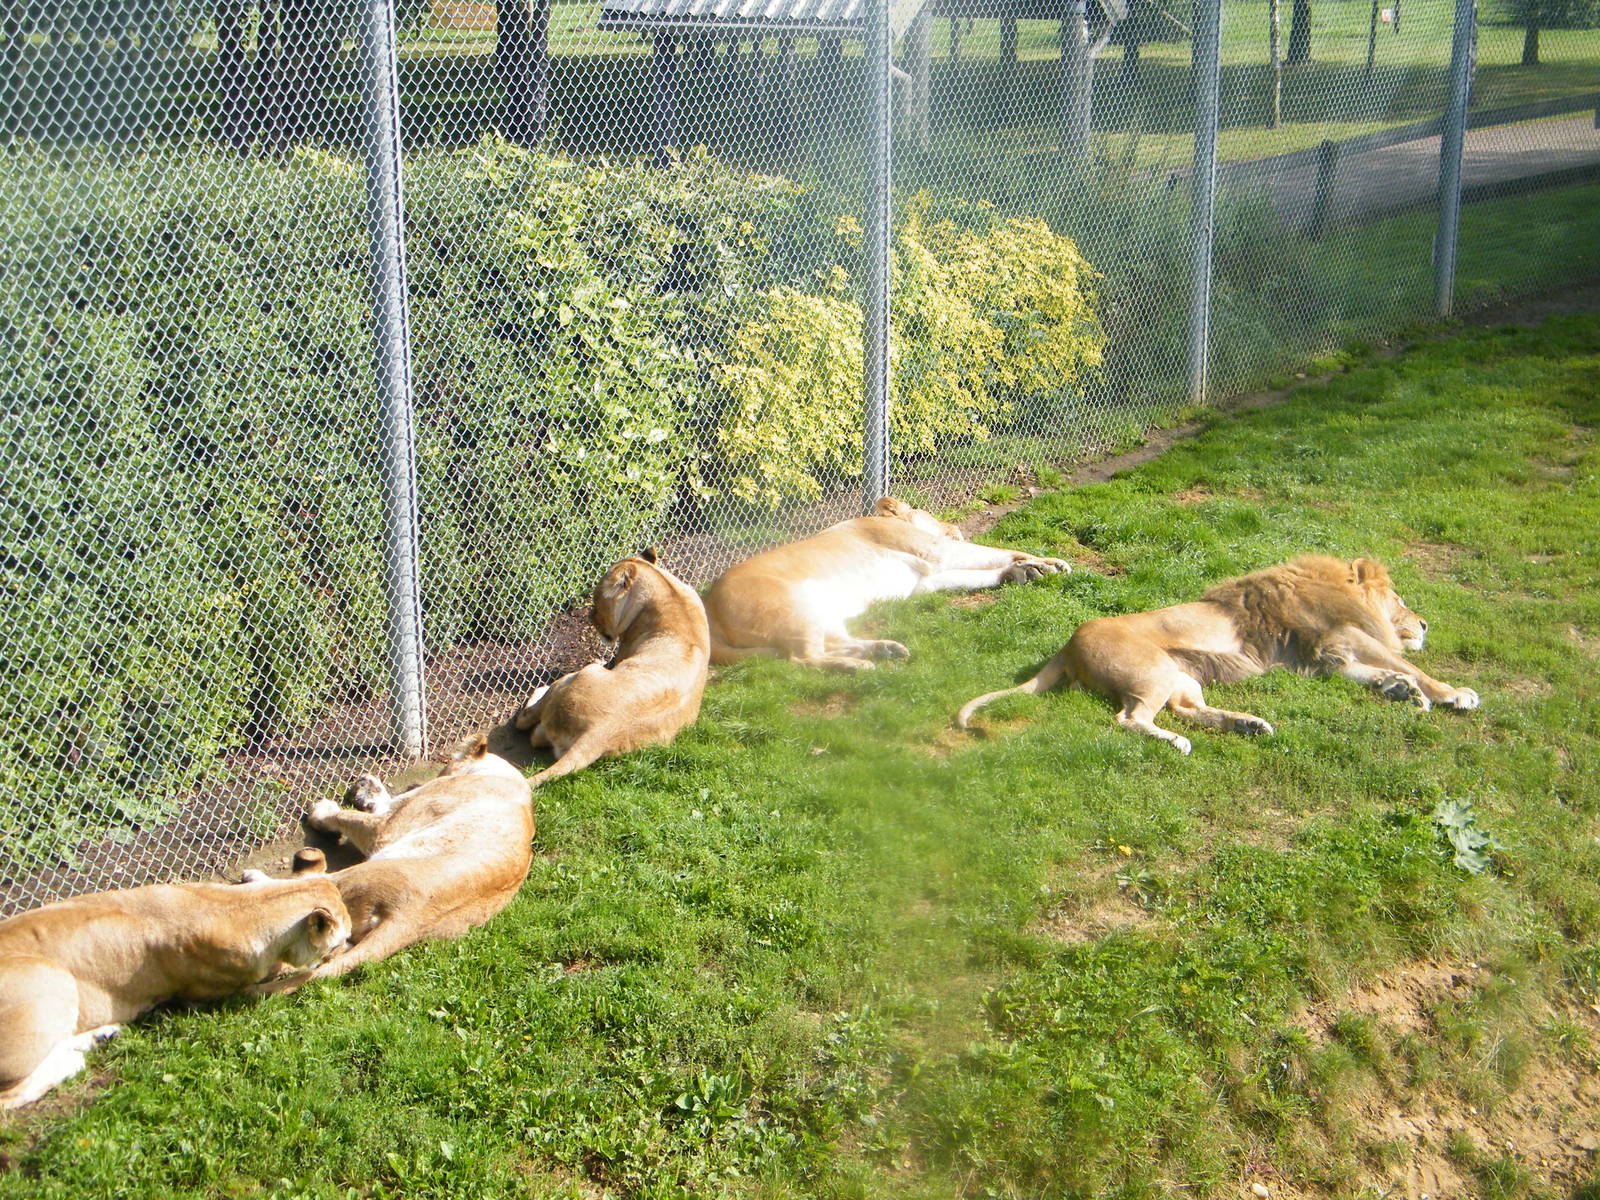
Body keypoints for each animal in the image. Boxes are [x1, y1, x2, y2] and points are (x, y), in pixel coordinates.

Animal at [512, 550, 710, 787]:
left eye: (597, 599)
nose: (589, 615)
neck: (669, 591)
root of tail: (599, 733)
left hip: (580, 676)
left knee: (524, 721)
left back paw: (537, 693)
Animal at [704, 497, 1071, 672]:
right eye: (929, 512)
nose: (954, 525)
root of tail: (709, 608)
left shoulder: (925, 581)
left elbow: (980, 571)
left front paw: (1022, 572)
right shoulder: (936, 552)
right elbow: (995, 551)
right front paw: (1047, 562)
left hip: (821, 613)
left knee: (831, 644)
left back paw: (884, 650)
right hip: (795, 610)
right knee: (801, 659)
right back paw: (857, 667)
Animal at [956, 556, 1480, 753]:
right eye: (1400, 599)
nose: (1426, 625)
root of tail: (1066, 645)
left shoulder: (1324, 654)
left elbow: (1373, 672)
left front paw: (1400, 691)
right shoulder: (1341, 635)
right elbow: (1409, 662)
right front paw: (1452, 693)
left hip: (1182, 675)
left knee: (1190, 710)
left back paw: (1249, 724)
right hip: (1152, 673)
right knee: (1130, 719)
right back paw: (1176, 743)